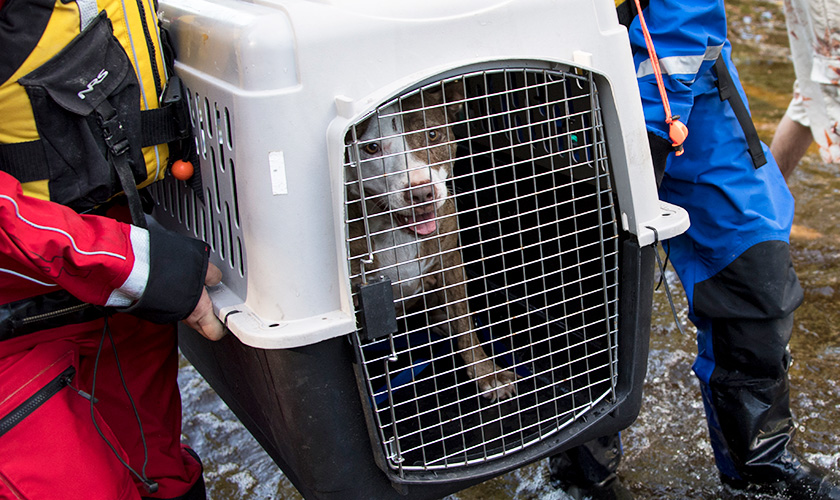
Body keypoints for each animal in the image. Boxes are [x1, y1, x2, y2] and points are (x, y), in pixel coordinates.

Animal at [342, 84, 516, 400]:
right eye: (371, 148)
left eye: (433, 134)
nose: (421, 193)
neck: (394, 230)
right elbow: (357, 375)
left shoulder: (450, 263)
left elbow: (465, 323)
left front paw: (487, 374)